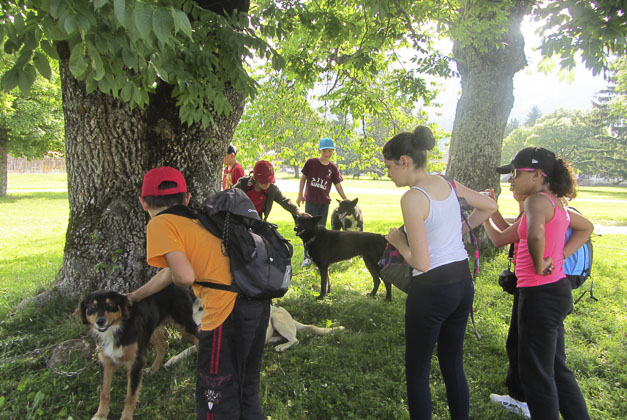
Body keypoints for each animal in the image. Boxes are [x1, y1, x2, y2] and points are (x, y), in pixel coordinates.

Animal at [77, 282, 199, 420]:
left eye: (111, 304)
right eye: (92, 307)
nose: (100, 321)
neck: (116, 330)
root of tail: (179, 285)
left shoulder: (136, 362)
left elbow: (130, 395)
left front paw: (126, 417)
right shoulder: (106, 361)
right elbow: (104, 392)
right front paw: (101, 414)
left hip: (184, 323)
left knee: (198, 339)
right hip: (150, 329)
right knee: (163, 345)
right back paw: (153, 369)